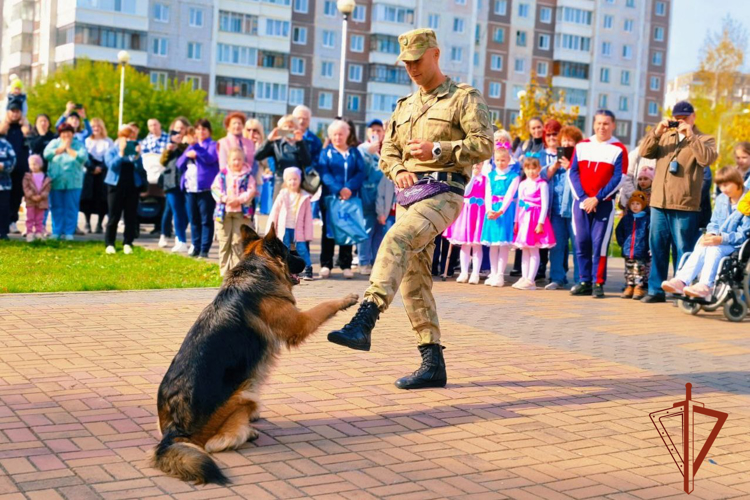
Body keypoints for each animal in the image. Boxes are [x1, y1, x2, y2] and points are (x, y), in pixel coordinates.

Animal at [151, 226, 360, 484]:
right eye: (289, 251)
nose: (308, 265)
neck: (256, 268)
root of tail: (173, 430)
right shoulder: (300, 323)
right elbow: (325, 305)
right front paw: (346, 299)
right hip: (246, 395)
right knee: (214, 444)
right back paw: (249, 431)